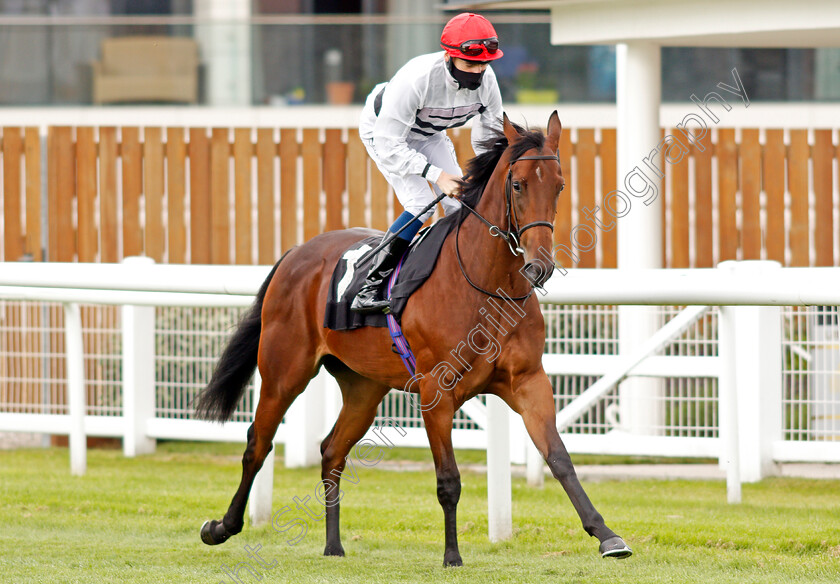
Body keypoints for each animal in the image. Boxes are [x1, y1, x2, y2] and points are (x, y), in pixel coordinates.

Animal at [197, 113, 632, 564]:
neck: (486, 284)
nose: (539, 266)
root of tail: (296, 251)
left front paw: (607, 535)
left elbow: (559, 457)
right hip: (284, 373)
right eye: (518, 184)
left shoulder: (529, 381)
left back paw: (333, 545)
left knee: (332, 451)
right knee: (257, 443)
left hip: (363, 387)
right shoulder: (435, 391)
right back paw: (222, 527)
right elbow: (448, 479)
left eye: (559, 185)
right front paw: (452, 555)